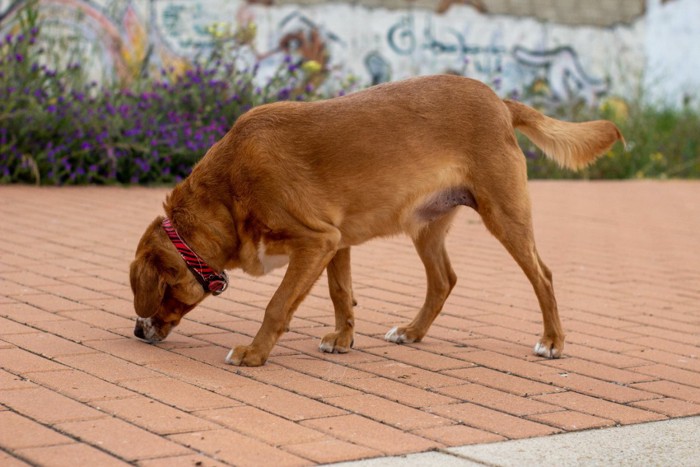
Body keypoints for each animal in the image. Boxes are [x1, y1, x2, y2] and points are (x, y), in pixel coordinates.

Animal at [129, 74, 620, 366]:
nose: (136, 331)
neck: (229, 191)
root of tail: (498, 100)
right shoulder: (335, 243)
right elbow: (341, 295)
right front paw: (343, 340)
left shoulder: (317, 241)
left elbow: (277, 305)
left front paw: (254, 353)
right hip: (426, 226)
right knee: (443, 281)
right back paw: (413, 332)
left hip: (505, 217)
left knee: (543, 275)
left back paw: (552, 341)